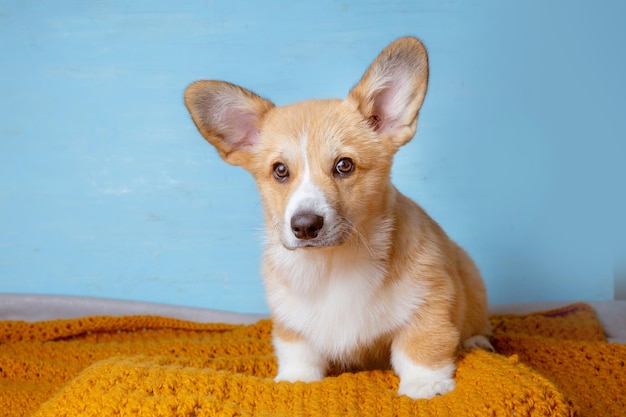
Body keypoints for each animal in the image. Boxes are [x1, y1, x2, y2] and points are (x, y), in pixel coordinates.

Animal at [183, 37, 490, 398]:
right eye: (280, 170)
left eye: (344, 165)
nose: (304, 226)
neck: (333, 263)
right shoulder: (291, 320)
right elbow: (298, 351)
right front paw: (296, 380)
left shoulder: (429, 301)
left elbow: (421, 346)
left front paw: (424, 386)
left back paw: (479, 341)